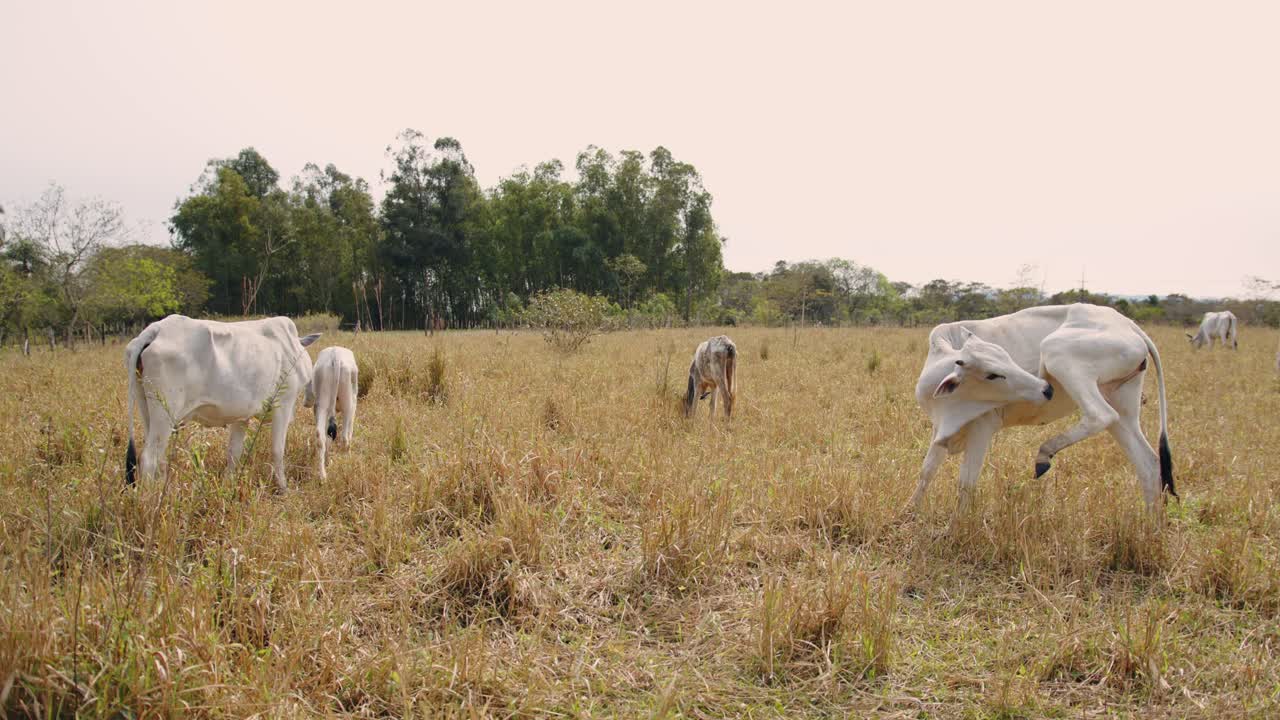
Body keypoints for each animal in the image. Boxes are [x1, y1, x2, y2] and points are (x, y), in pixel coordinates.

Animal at [124, 315, 320, 491]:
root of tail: (155, 330)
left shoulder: (242, 417)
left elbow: (234, 453)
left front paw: (229, 485)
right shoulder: (284, 404)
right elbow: (278, 450)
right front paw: (283, 488)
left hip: (148, 412)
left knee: (159, 457)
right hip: (164, 415)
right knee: (149, 458)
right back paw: (149, 499)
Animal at [304, 345, 358, 479]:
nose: (305, 403)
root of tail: (336, 355)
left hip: (322, 405)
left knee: (320, 437)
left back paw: (323, 475)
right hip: (348, 403)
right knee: (344, 437)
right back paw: (346, 459)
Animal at [908, 304, 1175, 523]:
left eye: (1006, 357)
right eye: (992, 374)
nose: (1046, 388)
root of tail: (1128, 324)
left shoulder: (982, 426)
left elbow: (966, 481)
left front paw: (955, 528)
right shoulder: (941, 428)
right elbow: (926, 471)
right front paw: (909, 513)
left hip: (1057, 354)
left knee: (1100, 415)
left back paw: (1044, 454)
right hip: (1123, 404)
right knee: (1148, 464)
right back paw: (1151, 529)